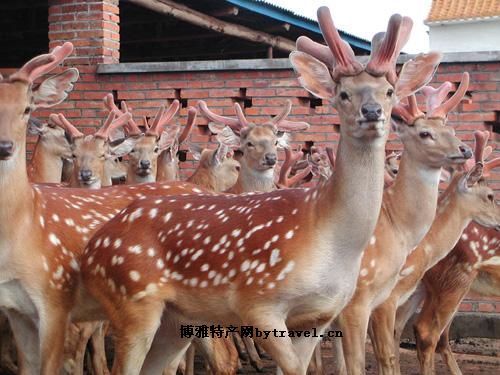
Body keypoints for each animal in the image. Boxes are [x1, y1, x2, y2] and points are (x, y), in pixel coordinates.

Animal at [78, 7, 442, 374]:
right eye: (343, 93)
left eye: (389, 91)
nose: (372, 112)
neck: (327, 235)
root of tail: (91, 250)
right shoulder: (258, 302)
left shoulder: (321, 314)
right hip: (133, 301)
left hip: (175, 318)